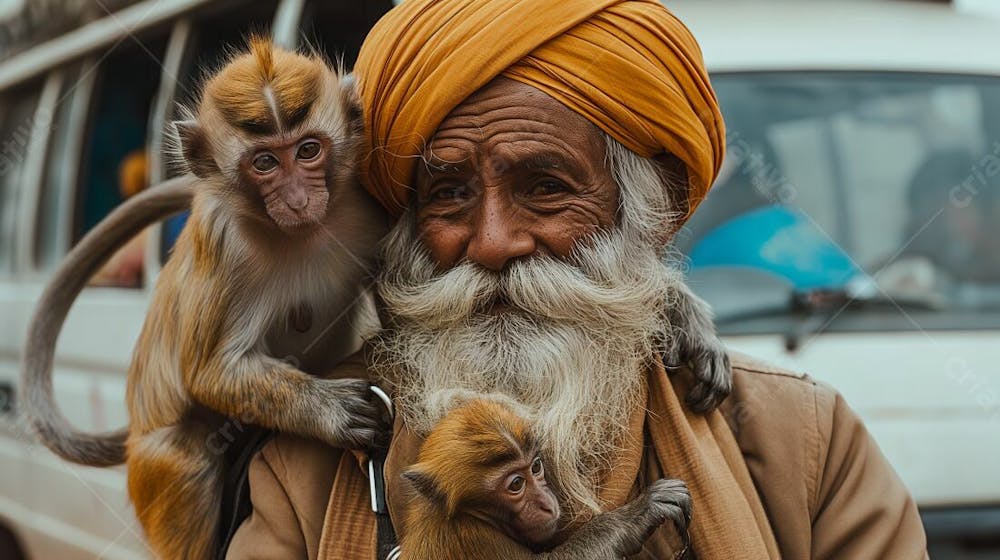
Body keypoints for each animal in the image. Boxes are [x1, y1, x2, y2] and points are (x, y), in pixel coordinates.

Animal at [396, 400, 688, 556]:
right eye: (516, 484)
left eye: (536, 467)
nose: (547, 504)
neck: (469, 515)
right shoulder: (473, 539)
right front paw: (634, 516)